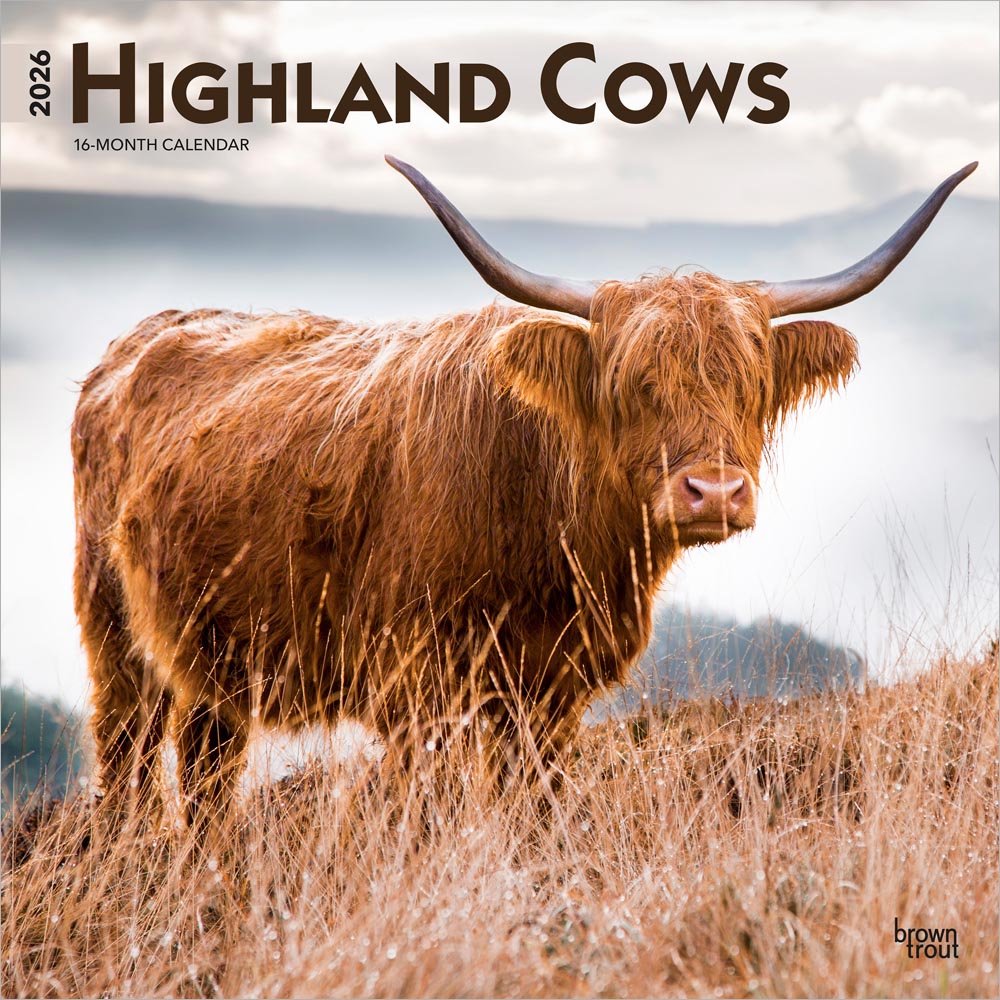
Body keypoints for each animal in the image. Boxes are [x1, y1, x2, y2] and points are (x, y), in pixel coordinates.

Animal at [72, 158, 975, 823]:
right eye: (633, 384)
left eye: (751, 384)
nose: (714, 493)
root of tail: (136, 340)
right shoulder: (419, 687)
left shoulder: (552, 695)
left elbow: (533, 810)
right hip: (115, 634)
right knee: (127, 758)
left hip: (213, 660)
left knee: (207, 768)